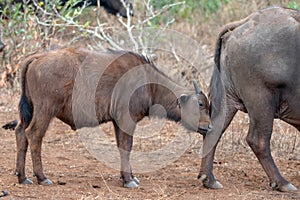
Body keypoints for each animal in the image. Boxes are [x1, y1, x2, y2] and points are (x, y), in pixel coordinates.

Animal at [199, 6, 300, 192]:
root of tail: (246, 22)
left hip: (227, 98)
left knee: (213, 130)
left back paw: (208, 179)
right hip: (261, 100)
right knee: (258, 140)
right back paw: (282, 183)